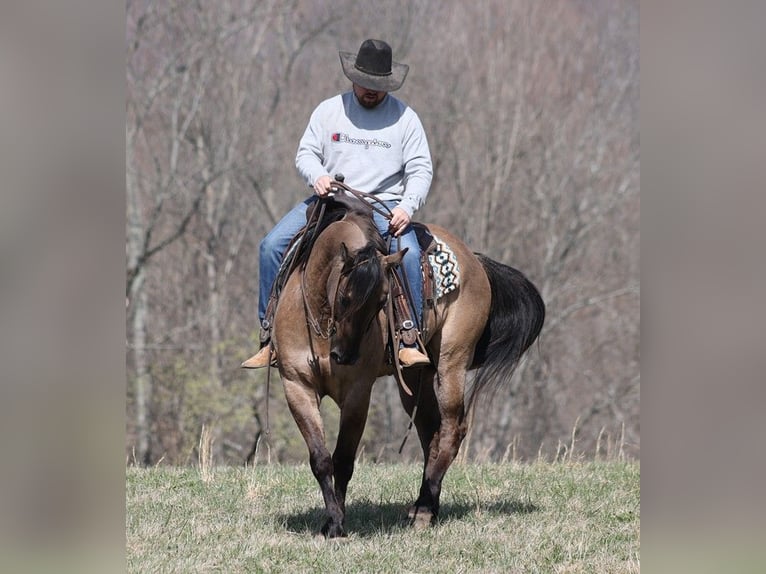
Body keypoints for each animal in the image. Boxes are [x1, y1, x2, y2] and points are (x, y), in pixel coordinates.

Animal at [262, 189, 544, 540]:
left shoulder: (358, 393)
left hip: (452, 362)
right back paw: (426, 506)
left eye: (383, 301)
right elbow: (321, 459)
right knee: (430, 432)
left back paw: (423, 509)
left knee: (452, 429)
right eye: (344, 297)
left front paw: (338, 522)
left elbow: (343, 459)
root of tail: (476, 261)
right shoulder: (296, 385)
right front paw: (330, 521)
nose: (344, 356)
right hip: (414, 376)